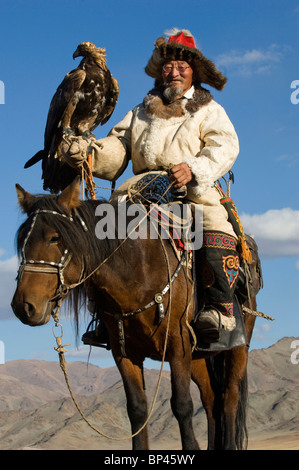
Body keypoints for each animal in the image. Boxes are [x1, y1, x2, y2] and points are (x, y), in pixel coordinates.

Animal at [11, 178, 258, 450]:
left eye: (55, 238)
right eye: (22, 240)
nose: (23, 306)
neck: (138, 271)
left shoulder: (177, 346)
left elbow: (182, 406)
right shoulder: (125, 353)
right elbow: (137, 409)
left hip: (237, 348)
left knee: (229, 397)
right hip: (198, 356)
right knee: (211, 399)